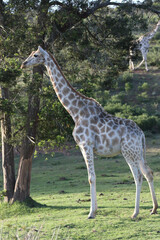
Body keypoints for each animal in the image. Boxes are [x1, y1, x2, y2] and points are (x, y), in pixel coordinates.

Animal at [21, 46, 158, 218]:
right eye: (30, 54)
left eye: (35, 55)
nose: (23, 64)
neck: (75, 111)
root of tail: (141, 134)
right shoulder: (85, 147)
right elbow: (92, 176)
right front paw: (96, 209)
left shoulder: (86, 144)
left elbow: (91, 177)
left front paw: (91, 212)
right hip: (138, 152)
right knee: (148, 172)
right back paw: (154, 208)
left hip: (128, 152)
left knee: (138, 176)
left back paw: (135, 212)